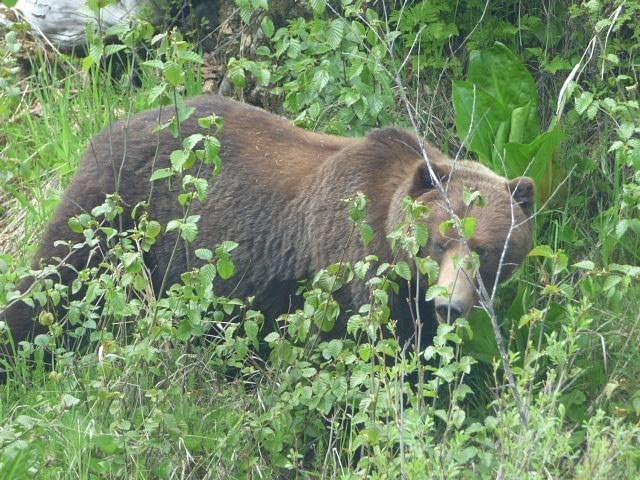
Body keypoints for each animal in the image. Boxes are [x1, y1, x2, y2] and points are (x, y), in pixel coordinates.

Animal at [0, 94, 534, 368]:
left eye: (488, 251)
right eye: (439, 241)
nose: (450, 304)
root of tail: (115, 123)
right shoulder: (349, 262)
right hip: (113, 206)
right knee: (55, 278)